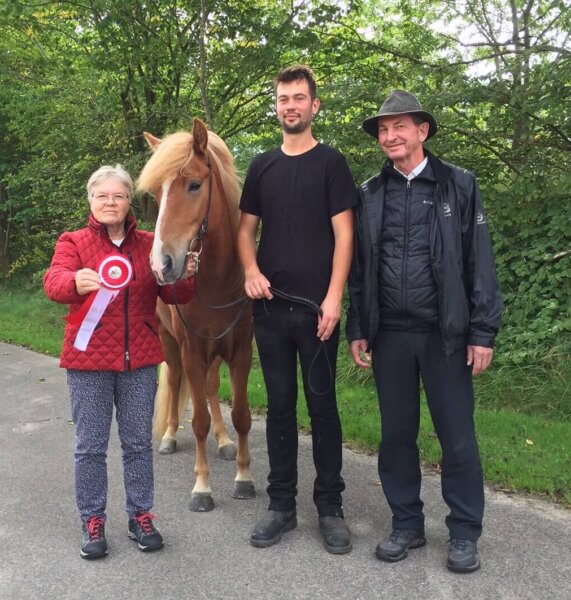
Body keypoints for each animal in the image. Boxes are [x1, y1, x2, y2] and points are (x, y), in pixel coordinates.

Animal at [137, 119, 254, 512]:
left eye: (194, 184)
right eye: (157, 192)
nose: (162, 265)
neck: (219, 282)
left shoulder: (240, 351)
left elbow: (241, 415)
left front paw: (243, 476)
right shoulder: (191, 351)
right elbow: (198, 419)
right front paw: (202, 487)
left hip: (214, 353)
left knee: (211, 387)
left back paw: (223, 441)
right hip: (171, 344)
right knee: (174, 382)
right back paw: (170, 436)